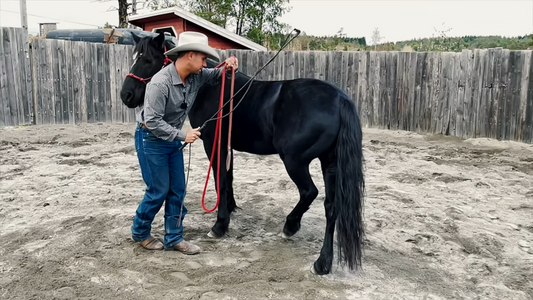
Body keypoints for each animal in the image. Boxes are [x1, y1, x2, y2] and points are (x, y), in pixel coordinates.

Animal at [119, 31, 366, 276]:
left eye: (147, 60)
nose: (126, 95)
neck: (213, 91)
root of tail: (339, 99)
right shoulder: (227, 146)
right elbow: (228, 178)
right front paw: (230, 208)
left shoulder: (213, 143)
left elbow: (220, 180)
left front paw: (220, 225)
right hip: (329, 163)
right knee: (331, 207)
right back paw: (323, 262)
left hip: (295, 161)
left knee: (309, 192)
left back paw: (290, 226)